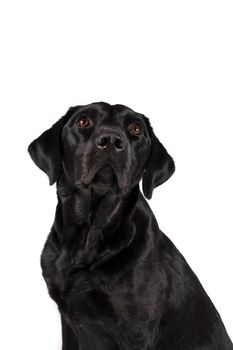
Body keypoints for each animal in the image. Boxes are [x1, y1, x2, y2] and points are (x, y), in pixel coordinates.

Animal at [28, 102, 232, 348]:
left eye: (136, 129)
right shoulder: (68, 322)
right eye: (83, 121)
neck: (89, 236)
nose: (111, 140)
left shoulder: (137, 330)